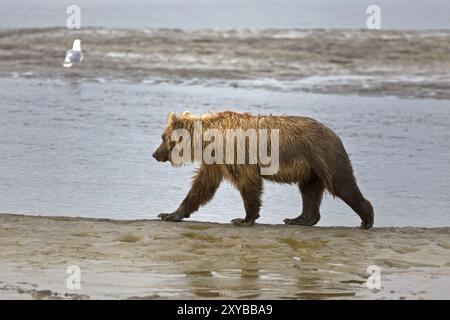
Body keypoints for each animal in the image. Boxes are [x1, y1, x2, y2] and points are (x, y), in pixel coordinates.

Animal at [153, 111, 374, 229]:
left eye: (163, 138)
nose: (155, 154)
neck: (209, 140)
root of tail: (335, 134)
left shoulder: (236, 153)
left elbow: (248, 183)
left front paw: (243, 219)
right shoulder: (215, 161)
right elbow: (201, 187)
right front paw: (170, 214)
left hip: (323, 155)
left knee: (341, 183)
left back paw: (366, 219)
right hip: (310, 169)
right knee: (309, 190)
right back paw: (299, 219)